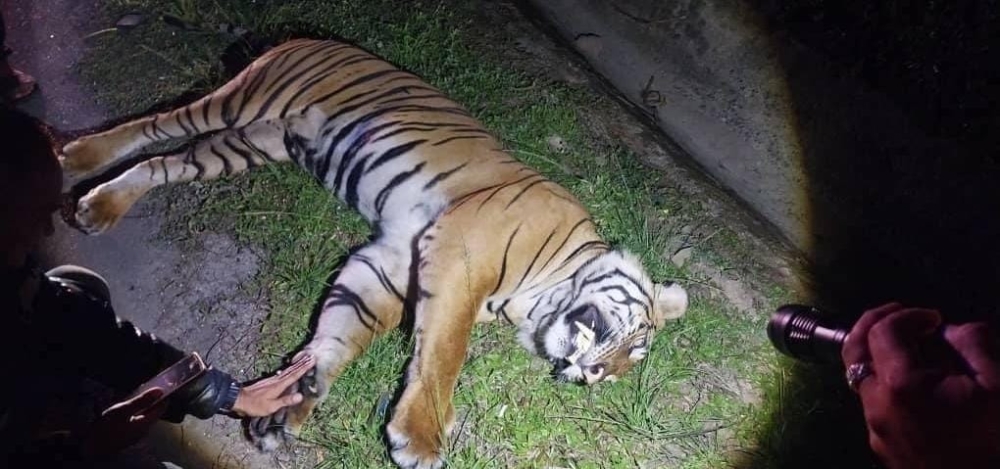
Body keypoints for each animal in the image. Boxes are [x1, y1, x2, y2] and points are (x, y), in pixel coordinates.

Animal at [59, 38, 689, 469]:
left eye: (617, 375)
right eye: (633, 341)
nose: (589, 376)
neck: (533, 300)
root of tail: (315, 38)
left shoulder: (386, 266)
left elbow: (340, 334)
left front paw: (291, 404)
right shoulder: (459, 255)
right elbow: (444, 352)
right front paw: (422, 436)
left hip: (249, 144)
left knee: (165, 162)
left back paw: (101, 204)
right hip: (238, 101)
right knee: (154, 125)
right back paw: (76, 158)